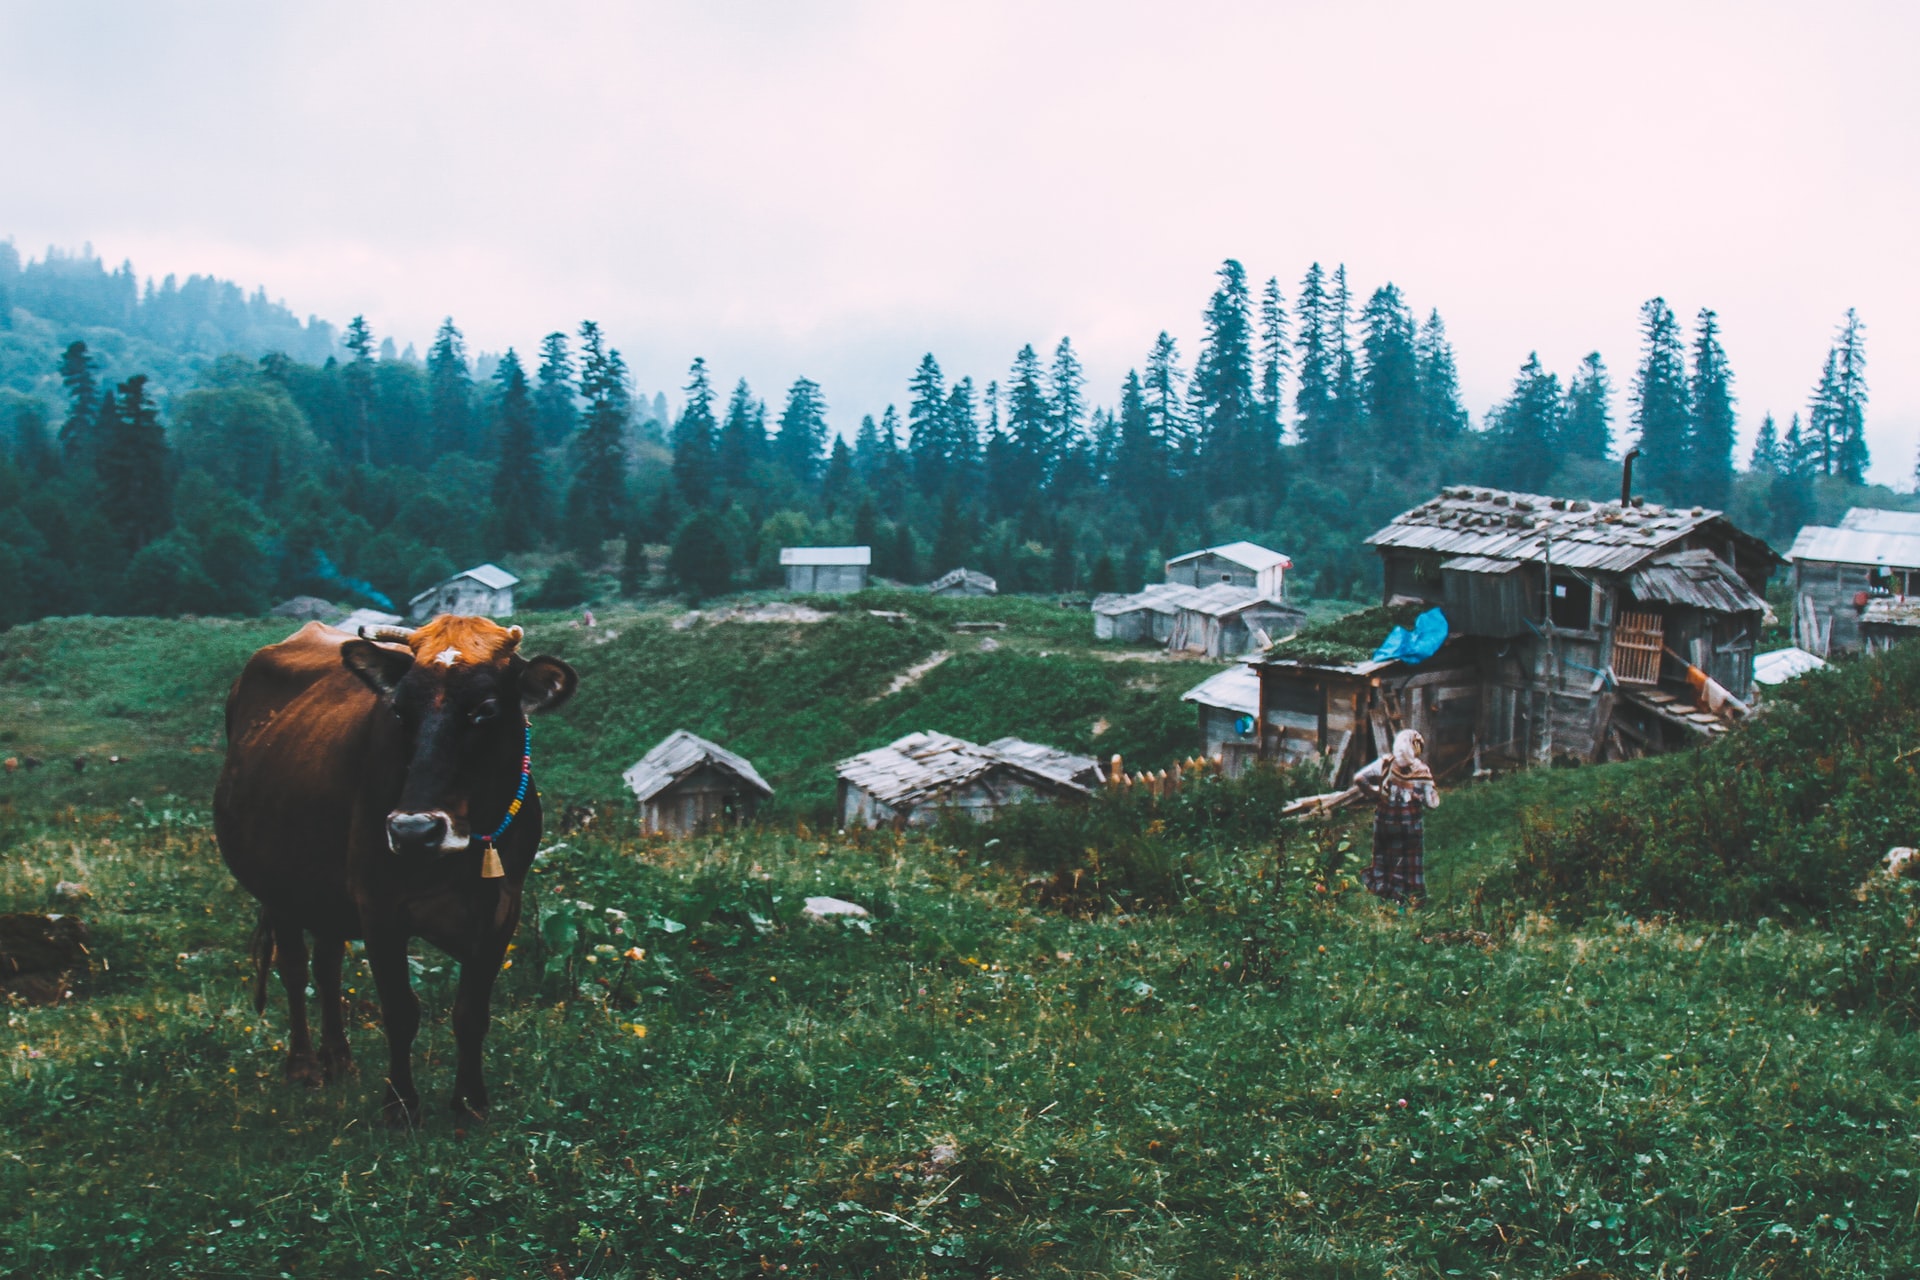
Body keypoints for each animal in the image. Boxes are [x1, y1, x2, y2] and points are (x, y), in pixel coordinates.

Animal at [216, 614, 576, 1128]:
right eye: (401, 712)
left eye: (486, 709)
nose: (413, 830)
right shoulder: (377, 902)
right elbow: (401, 1011)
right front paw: (400, 1105)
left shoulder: (502, 906)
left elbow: (471, 1012)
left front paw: (470, 1103)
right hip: (278, 886)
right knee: (295, 969)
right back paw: (305, 1065)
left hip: (326, 895)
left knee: (327, 966)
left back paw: (339, 1058)